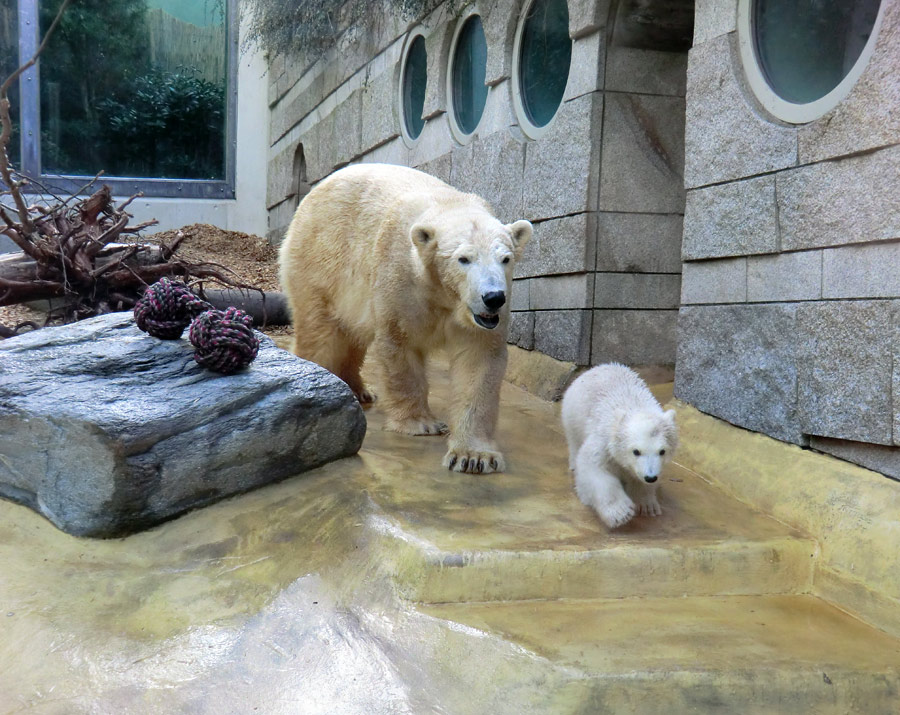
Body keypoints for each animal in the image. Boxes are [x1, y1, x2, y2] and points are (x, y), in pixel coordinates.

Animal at [278, 164, 532, 476]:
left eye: (505, 258)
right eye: (463, 259)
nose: (493, 297)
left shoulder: (479, 319)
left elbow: (478, 361)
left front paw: (474, 456)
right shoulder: (401, 279)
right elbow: (399, 345)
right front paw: (420, 423)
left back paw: (360, 391)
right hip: (322, 260)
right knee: (320, 332)